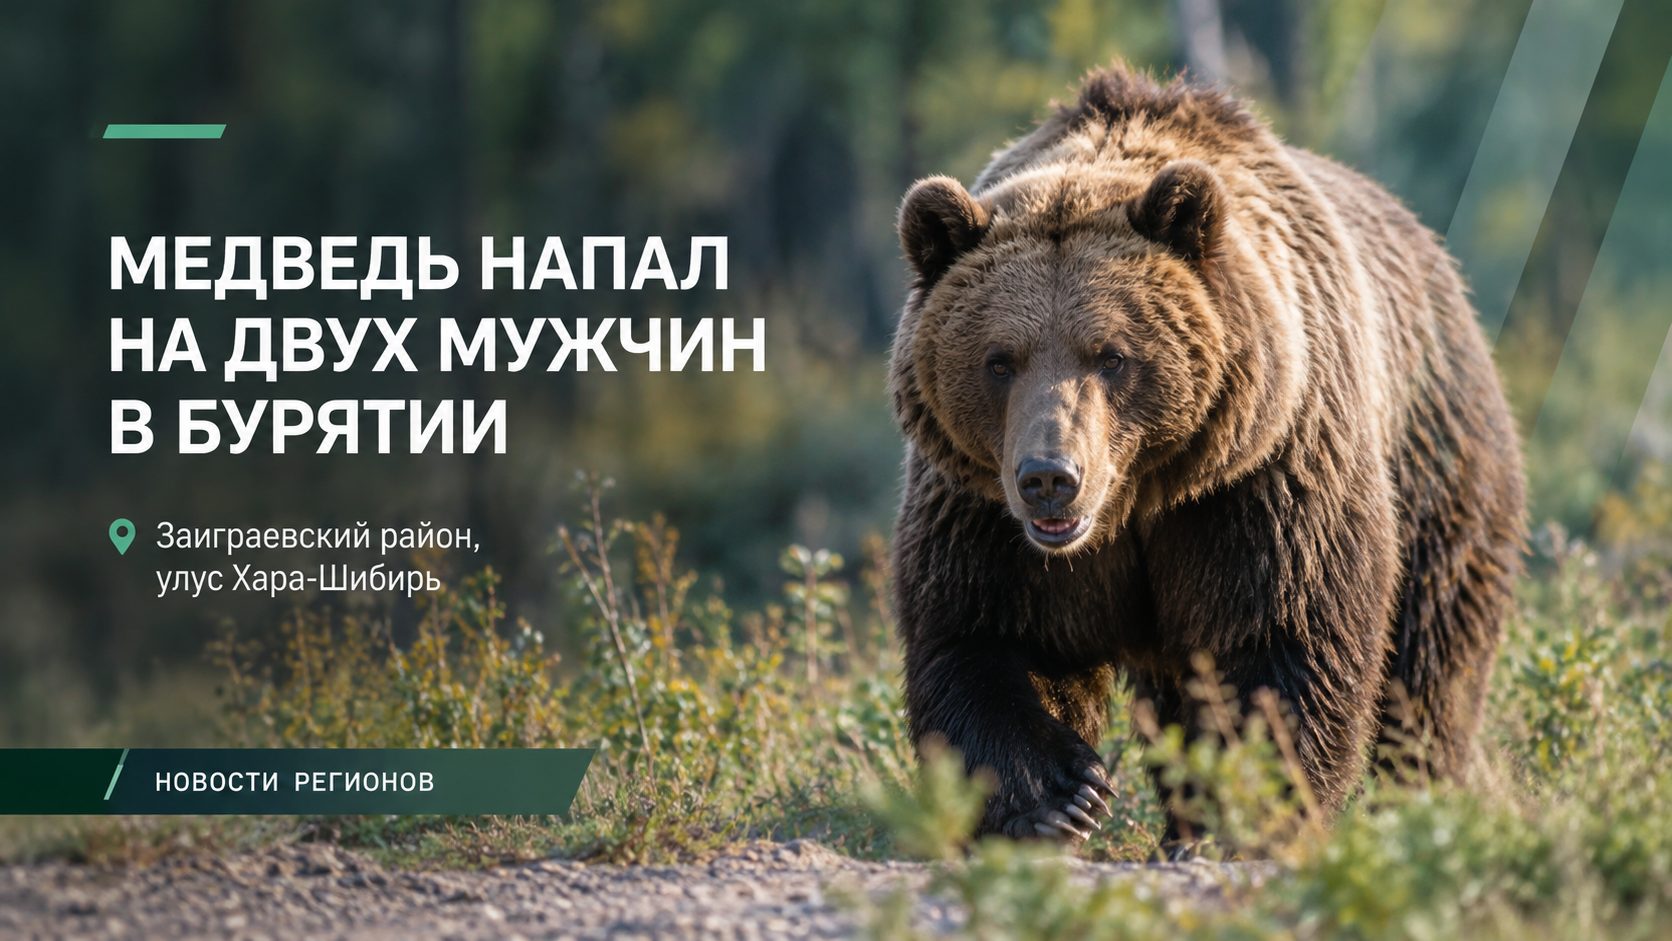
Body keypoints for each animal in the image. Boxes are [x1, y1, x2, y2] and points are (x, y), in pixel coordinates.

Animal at [887, 64, 1525, 846]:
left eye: (1111, 356)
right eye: (1000, 360)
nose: (1050, 479)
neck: (1135, 500)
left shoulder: (1263, 476)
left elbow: (1285, 634)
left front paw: (1246, 805)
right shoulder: (981, 508)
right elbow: (981, 633)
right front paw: (1058, 798)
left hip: (1438, 458)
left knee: (1430, 663)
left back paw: (1413, 799)